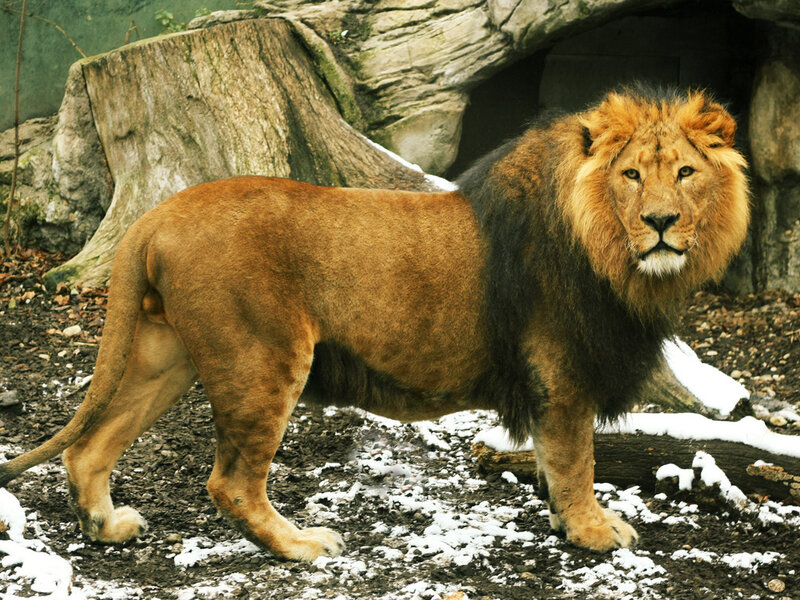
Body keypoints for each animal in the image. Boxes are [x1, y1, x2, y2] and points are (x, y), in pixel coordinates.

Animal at [0, 86, 749, 561]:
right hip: (262, 358)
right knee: (230, 483)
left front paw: (564, 517)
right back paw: (301, 546)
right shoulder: (561, 371)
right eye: (632, 176)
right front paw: (593, 532)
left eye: (686, 173)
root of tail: (156, 213)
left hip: (168, 354)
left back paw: (106, 526)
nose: (661, 222)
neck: (611, 252)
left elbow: (551, 460)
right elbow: (576, 461)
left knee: (88, 447)